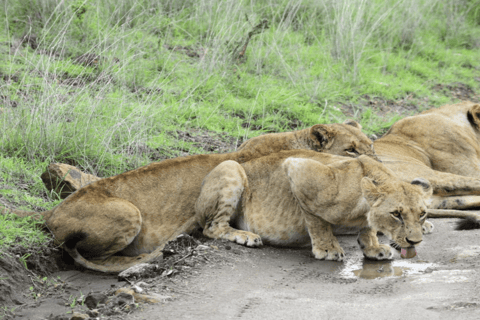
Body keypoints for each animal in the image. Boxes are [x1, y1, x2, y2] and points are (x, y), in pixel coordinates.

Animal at [0, 120, 378, 272]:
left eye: (372, 146)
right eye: (351, 149)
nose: (374, 162)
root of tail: (50, 212)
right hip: (129, 212)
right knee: (95, 256)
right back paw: (154, 255)